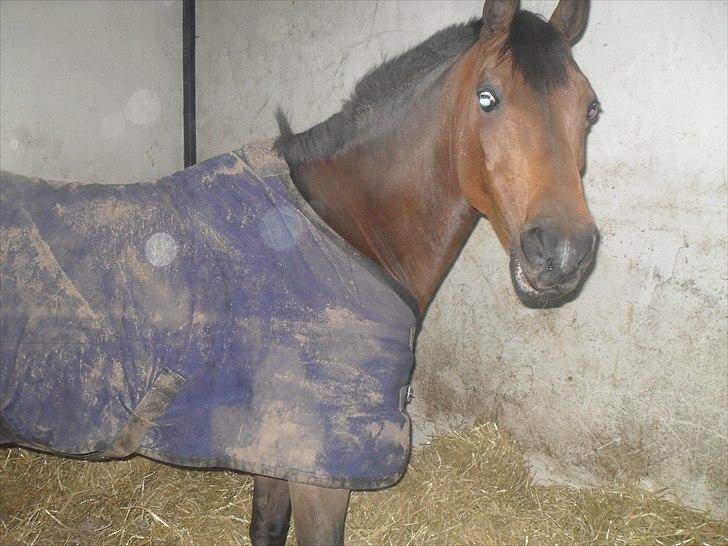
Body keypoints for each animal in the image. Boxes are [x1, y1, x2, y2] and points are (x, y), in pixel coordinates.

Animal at [0, 0, 599, 544]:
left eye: (590, 108)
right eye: (487, 97)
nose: (564, 251)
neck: (344, 230)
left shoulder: (282, 448)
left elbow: (267, 526)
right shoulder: (321, 465)